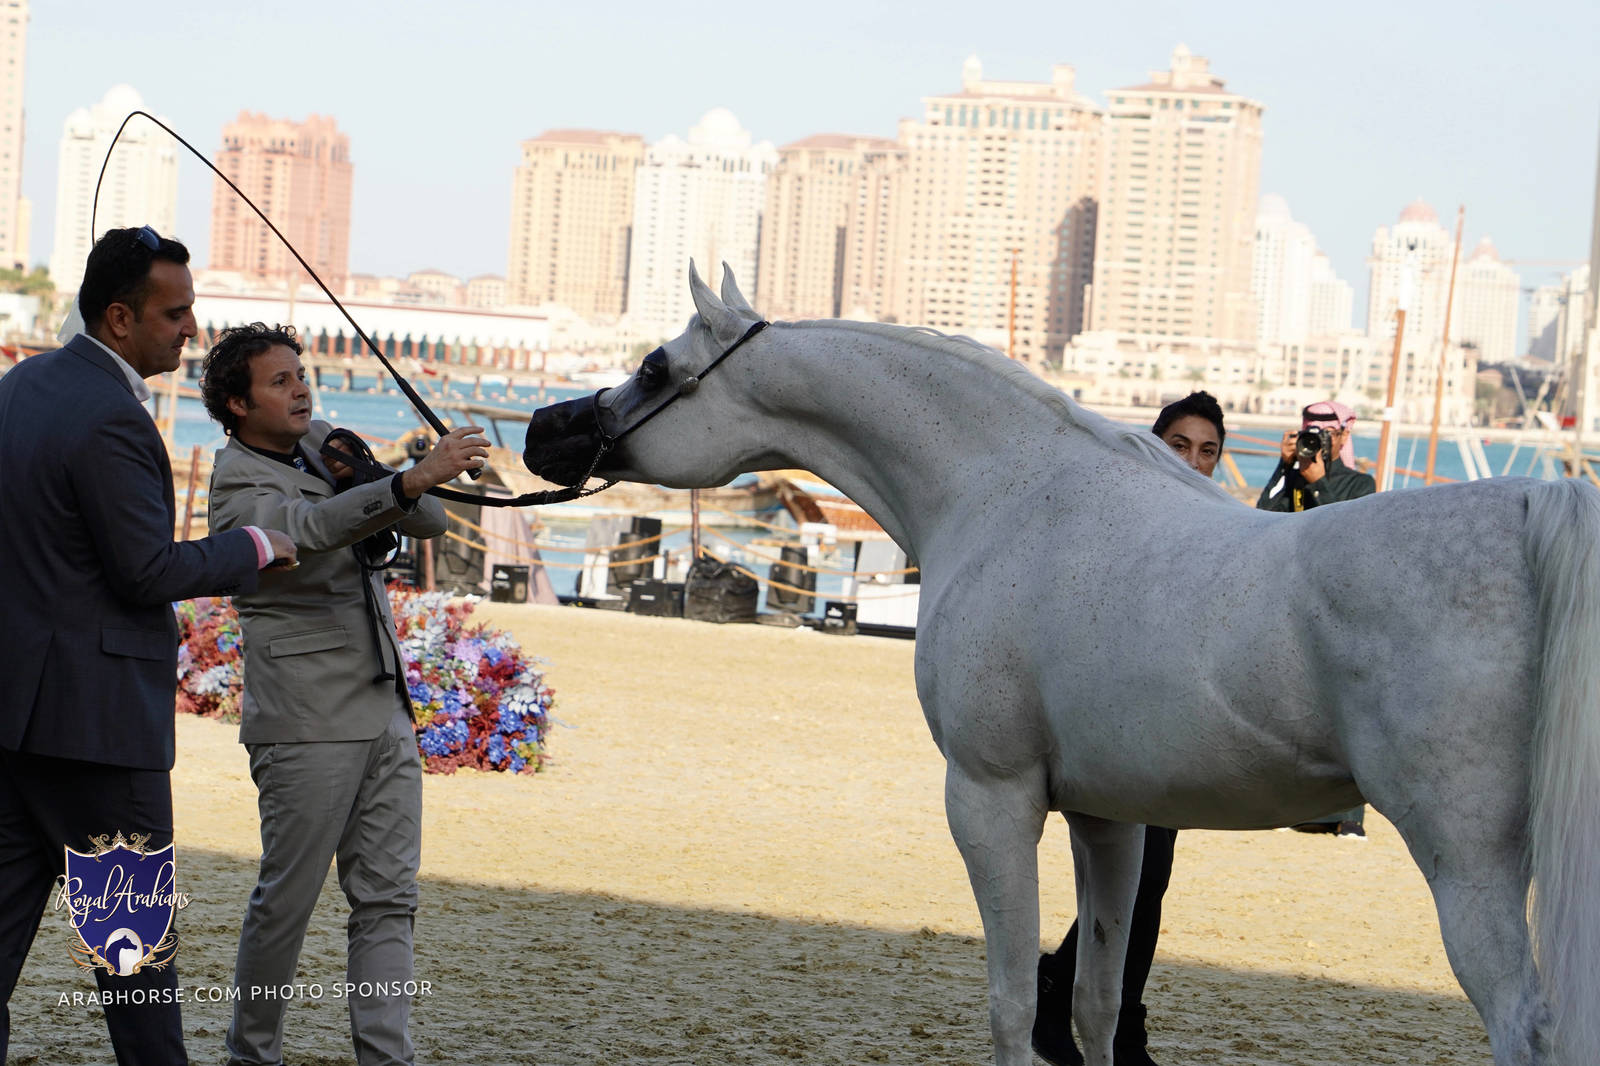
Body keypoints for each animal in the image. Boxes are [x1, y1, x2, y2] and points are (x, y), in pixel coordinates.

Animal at [521, 263, 1600, 1066]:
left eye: (655, 364)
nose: (542, 429)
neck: (1005, 490)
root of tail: (1528, 506)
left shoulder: (990, 798)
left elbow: (1008, 1002)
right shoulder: (1110, 818)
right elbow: (1091, 1001)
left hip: (1465, 859)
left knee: (1527, 1029)